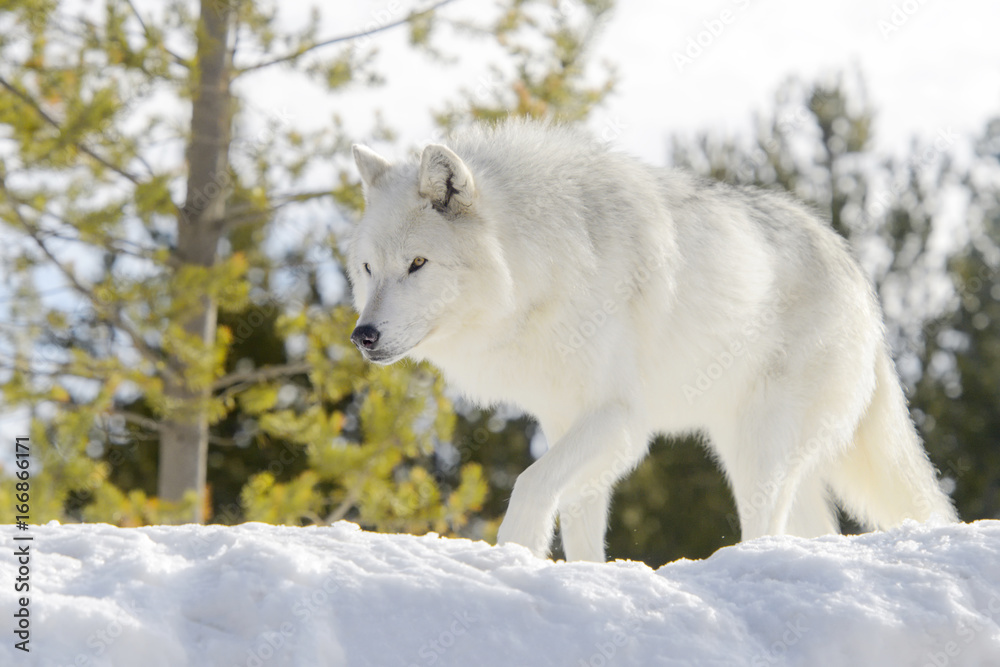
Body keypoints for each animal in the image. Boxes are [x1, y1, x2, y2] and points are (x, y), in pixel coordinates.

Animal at [347, 120, 957, 562]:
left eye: (418, 264)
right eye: (368, 268)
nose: (363, 336)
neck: (541, 266)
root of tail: (856, 274)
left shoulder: (620, 420)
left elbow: (531, 484)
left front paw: (515, 553)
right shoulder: (565, 422)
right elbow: (579, 522)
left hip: (759, 454)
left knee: (768, 526)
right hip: (757, 452)